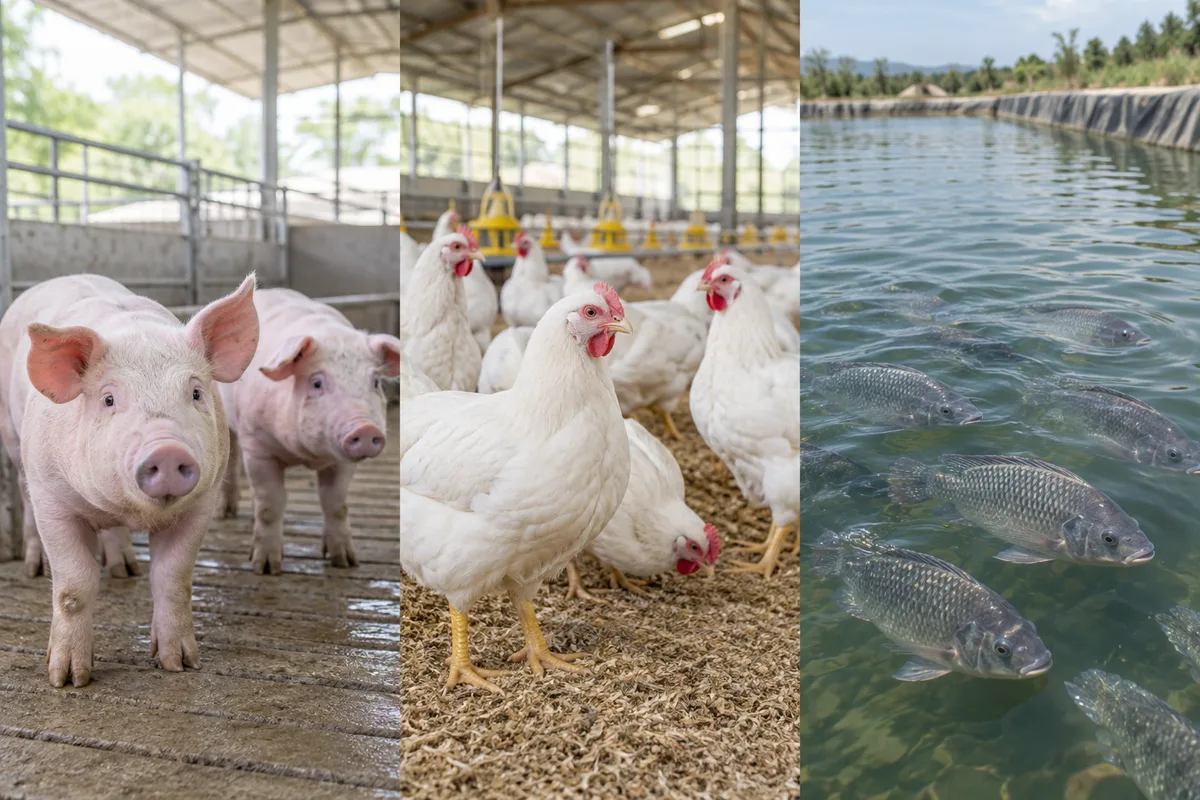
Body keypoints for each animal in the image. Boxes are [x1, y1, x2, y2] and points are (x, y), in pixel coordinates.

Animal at [0, 273, 259, 687]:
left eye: (196, 392)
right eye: (108, 399)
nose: (167, 451)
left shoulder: (202, 503)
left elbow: (174, 578)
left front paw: (180, 664)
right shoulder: (52, 499)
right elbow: (74, 585)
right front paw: (67, 679)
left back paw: (125, 567)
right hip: (13, 441)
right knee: (25, 503)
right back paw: (36, 567)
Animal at [218, 288, 400, 575]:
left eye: (376, 382)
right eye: (316, 383)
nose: (366, 428)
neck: (306, 456)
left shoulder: (342, 462)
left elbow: (335, 504)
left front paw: (345, 562)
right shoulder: (257, 447)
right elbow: (271, 504)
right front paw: (265, 568)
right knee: (234, 457)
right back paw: (226, 514)